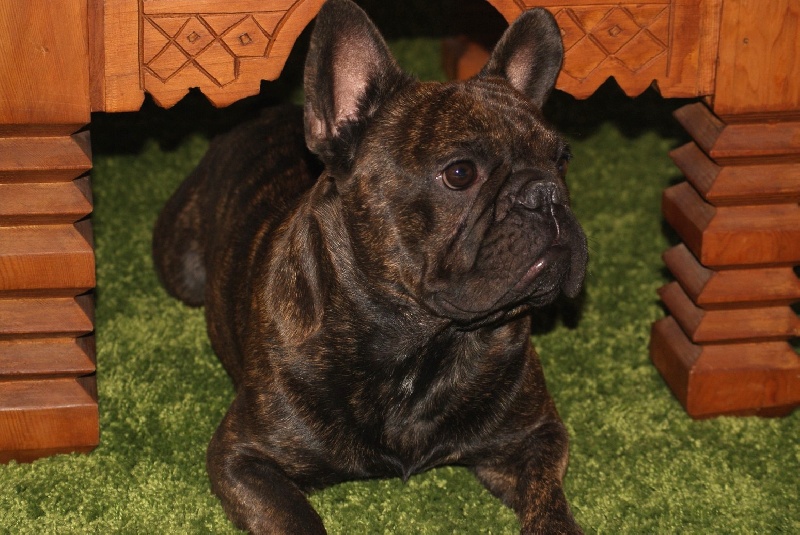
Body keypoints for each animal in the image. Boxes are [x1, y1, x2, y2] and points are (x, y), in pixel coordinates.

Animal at [152, 0, 587, 532]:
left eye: (562, 160)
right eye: (460, 173)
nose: (546, 194)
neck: (422, 344)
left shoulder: (535, 438)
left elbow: (549, 502)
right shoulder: (242, 457)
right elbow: (297, 518)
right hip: (180, 267)